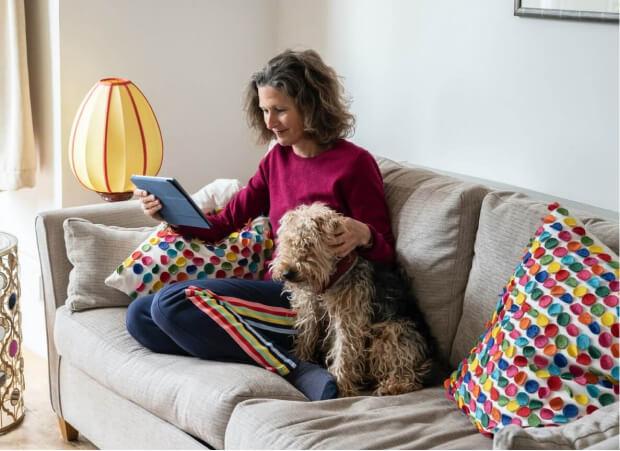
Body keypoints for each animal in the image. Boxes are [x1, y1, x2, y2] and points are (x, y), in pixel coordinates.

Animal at [272, 203, 436, 398]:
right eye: (287, 241)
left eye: (309, 243)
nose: (287, 272)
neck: (332, 276)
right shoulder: (310, 312)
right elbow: (306, 338)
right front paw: (302, 359)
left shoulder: (349, 321)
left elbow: (344, 354)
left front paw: (341, 386)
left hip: (391, 333)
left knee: (409, 373)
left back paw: (392, 385)